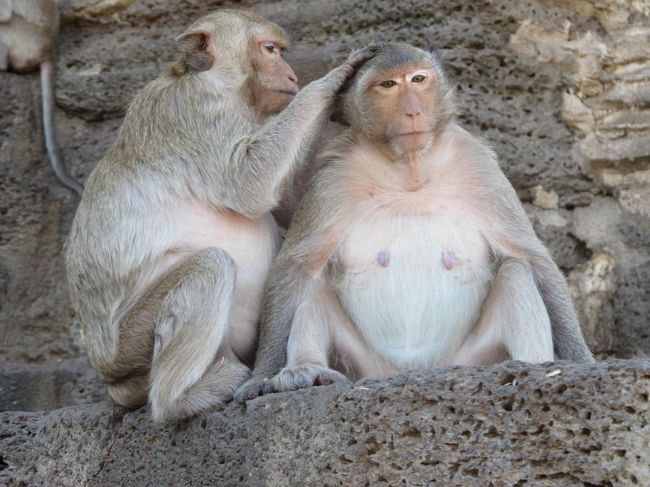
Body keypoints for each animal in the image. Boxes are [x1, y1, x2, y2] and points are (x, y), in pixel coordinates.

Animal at [66, 11, 374, 424]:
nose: (292, 74)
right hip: (131, 346)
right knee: (209, 266)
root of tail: (110, 377)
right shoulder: (197, 108)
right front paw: (332, 79)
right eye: (271, 50)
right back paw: (182, 398)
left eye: (281, 52)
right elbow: (248, 184)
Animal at [234, 43, 592, 400]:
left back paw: (533, 366)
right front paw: (261, 375)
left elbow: (534, 258)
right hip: (366, 367)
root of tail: (415, 371)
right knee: (316, 288)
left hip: (470, 359)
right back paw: (307, 371)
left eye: (418, 79)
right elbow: (295, 269)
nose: (412, 111)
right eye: (388, 85)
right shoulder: (332, 180)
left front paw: (581, 359)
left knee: (516, 271)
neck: (410, 172)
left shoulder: (481, 168)